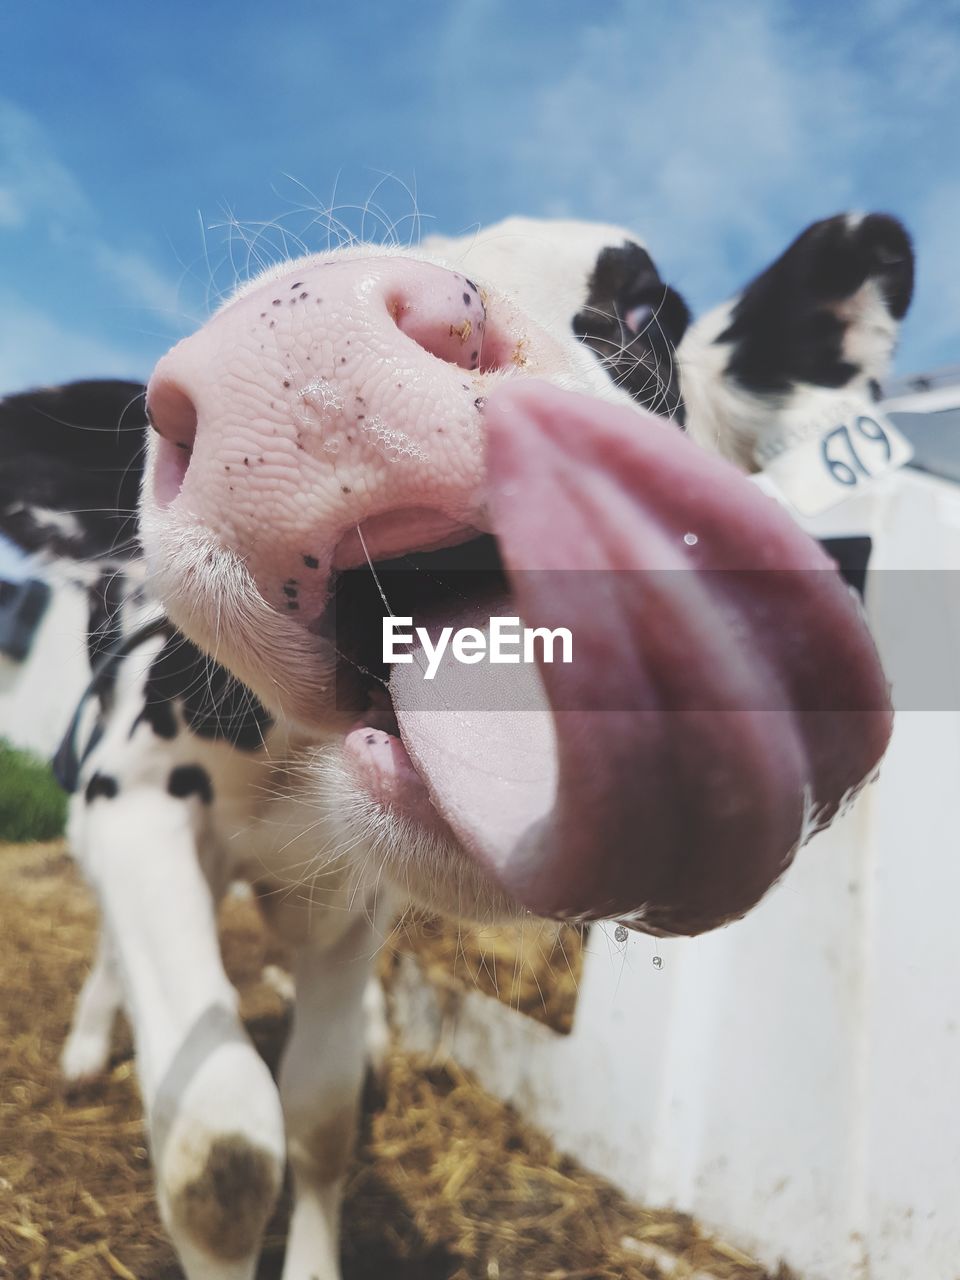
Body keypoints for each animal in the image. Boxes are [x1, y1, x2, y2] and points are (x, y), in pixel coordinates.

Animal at [0, 212, 916, 1280]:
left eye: (647, 307)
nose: (309, 350)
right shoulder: (138, 803)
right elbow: (221, 1149)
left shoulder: (351, 894)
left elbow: (319, 1115)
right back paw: (85, 1047)